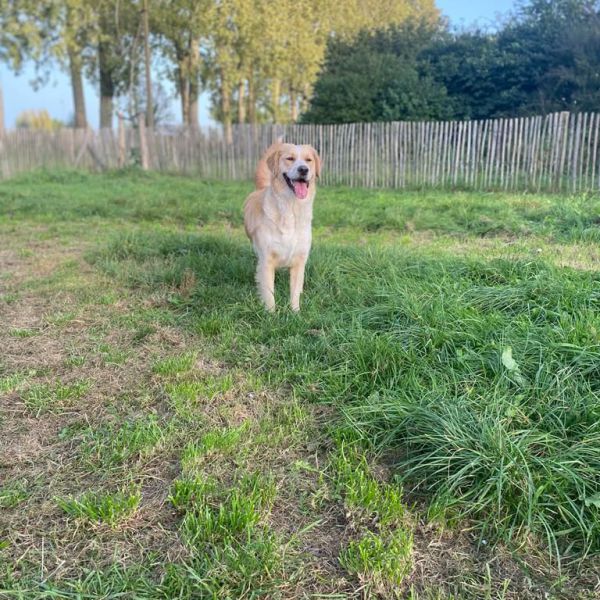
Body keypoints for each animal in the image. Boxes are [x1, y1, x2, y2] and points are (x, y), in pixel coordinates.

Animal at [243, 139, 322, 310]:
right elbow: (269, 293)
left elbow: (295, 292)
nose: (303, 169)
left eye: (308, 160)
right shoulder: (266, 261)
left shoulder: (299, 261)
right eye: (290, 158)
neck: (291, 209)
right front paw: (270, 314)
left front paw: (295, 312)